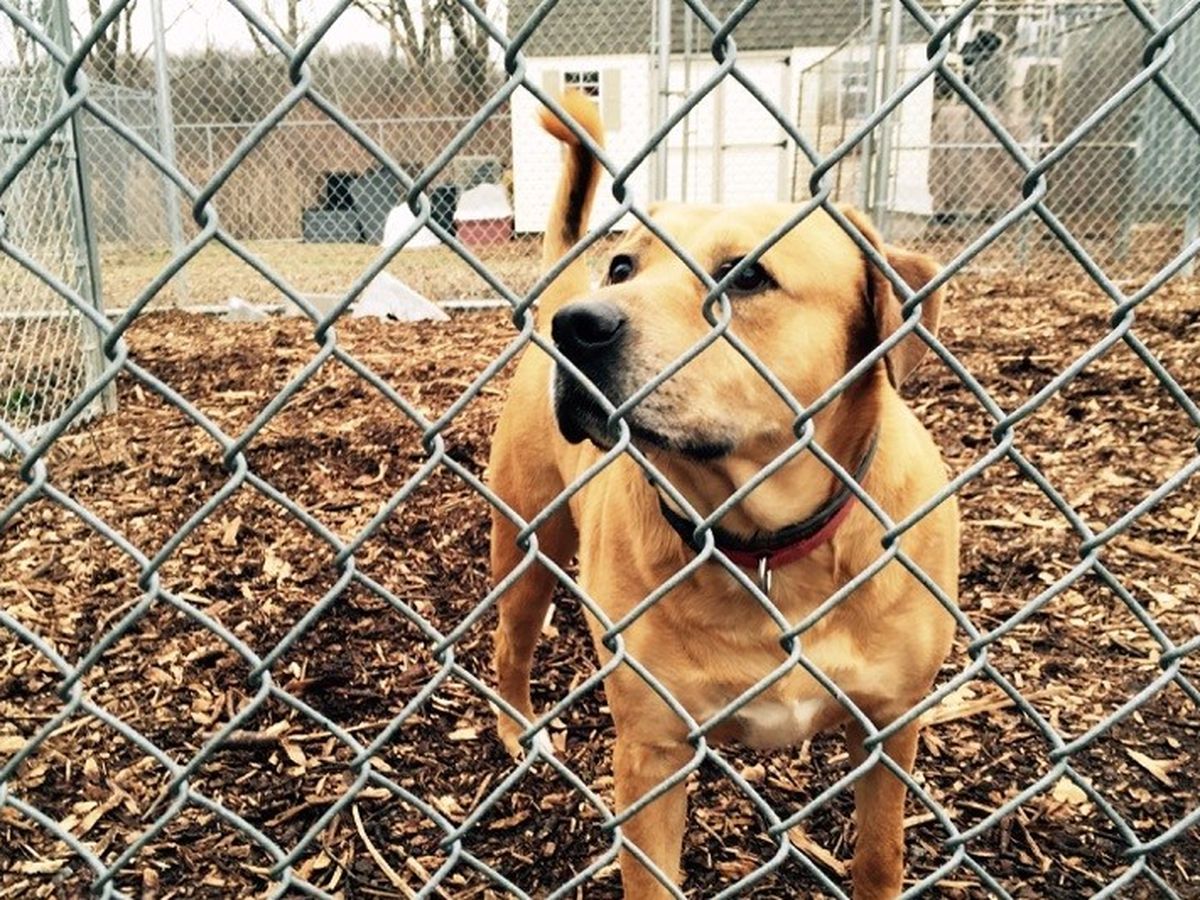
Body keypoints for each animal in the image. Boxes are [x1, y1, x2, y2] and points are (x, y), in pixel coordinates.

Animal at [488, 92, 958, 899]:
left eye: (744, 276)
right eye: (623, 265)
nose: (578, 327)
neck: (765, 542)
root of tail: (559, 290)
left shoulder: (892, 726)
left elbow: (879, 856)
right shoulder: (652, 752)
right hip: (525, 548)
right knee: (508, 646)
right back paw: (519, 729)